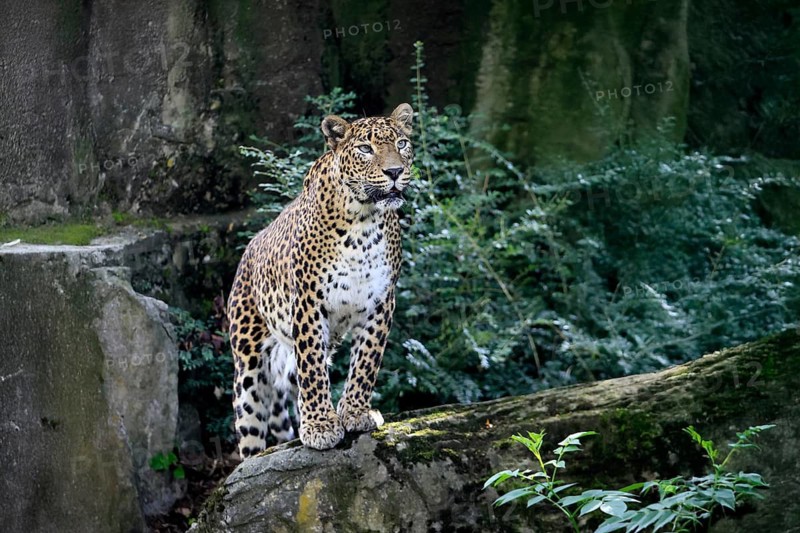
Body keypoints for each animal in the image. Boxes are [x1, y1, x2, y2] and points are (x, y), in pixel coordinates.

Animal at [227, 103, 414, 457]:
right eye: (365, 149)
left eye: (402, 144)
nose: (395, 172)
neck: (363, 223)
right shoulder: (309, 302)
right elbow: (312, 368)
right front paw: (320, 426)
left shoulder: (381, 300)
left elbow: (366, 360)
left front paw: (355, 412)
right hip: (248, 369)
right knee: (250, 431)